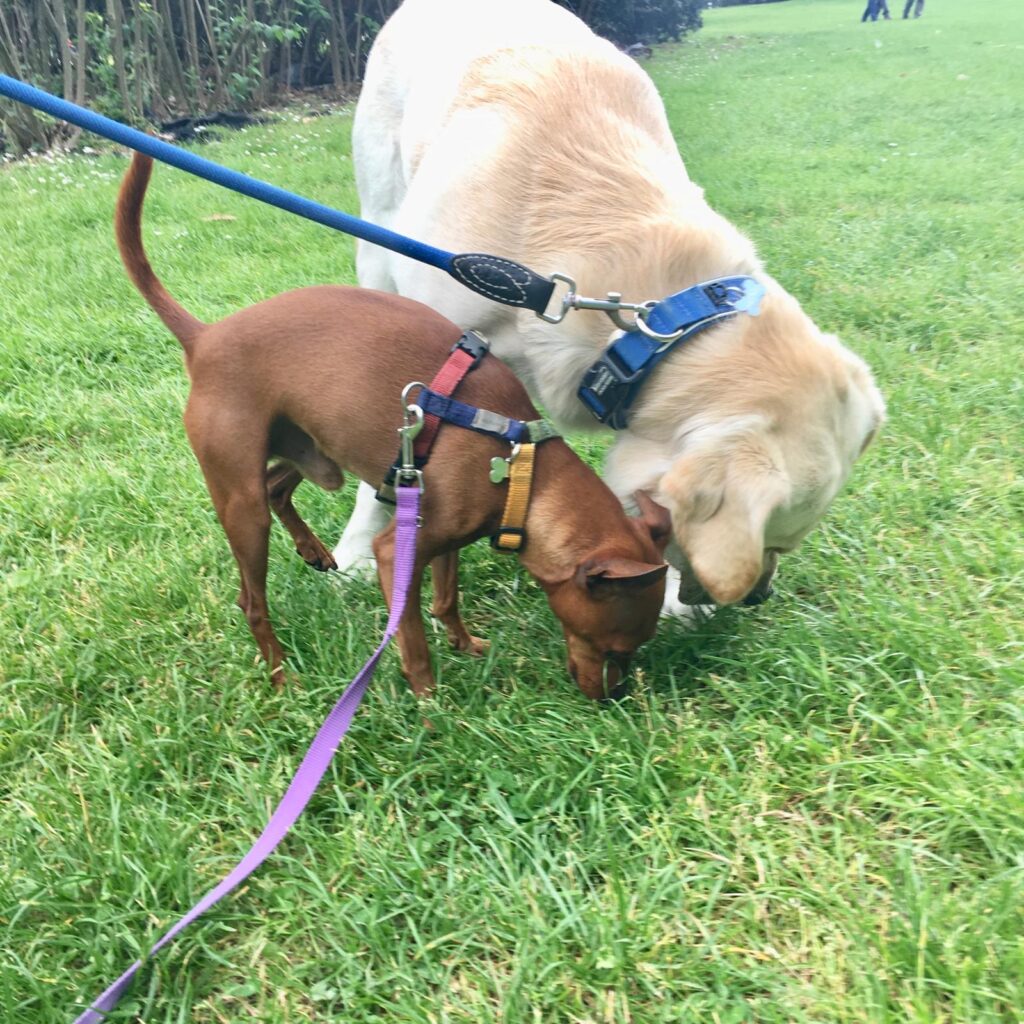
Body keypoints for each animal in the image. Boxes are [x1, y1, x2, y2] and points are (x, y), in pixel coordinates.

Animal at [115, 153, 669, 700]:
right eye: (616, 648)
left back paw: (313, 550)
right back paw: (280, 675)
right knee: (252, 597)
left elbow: (446, 599)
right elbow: (412, 639)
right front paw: (429, 703)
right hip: (242, 501)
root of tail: (204, 337)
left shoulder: (446, 538)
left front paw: (464, 645)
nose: (613, 697)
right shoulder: (398, 552)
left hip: (312, 448)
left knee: (276, 485)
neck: (517, 463)